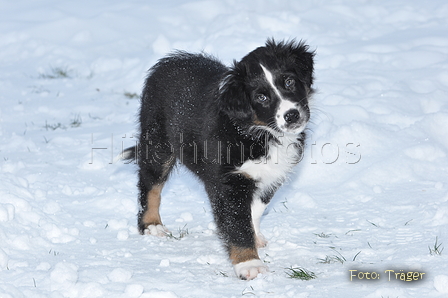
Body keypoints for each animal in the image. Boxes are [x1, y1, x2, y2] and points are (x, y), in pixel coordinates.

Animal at [124, 38, 316, 280]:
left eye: (289, 81)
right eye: (261, 97)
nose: (292, 115)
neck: (259, 133)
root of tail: (169, 60)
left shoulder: (272, 174)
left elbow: (255, 209)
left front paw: (255, 237)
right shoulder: (228, 182)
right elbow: (237, 223)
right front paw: (249, 264)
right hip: (158, 142)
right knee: (150, 184)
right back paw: (151, 225)